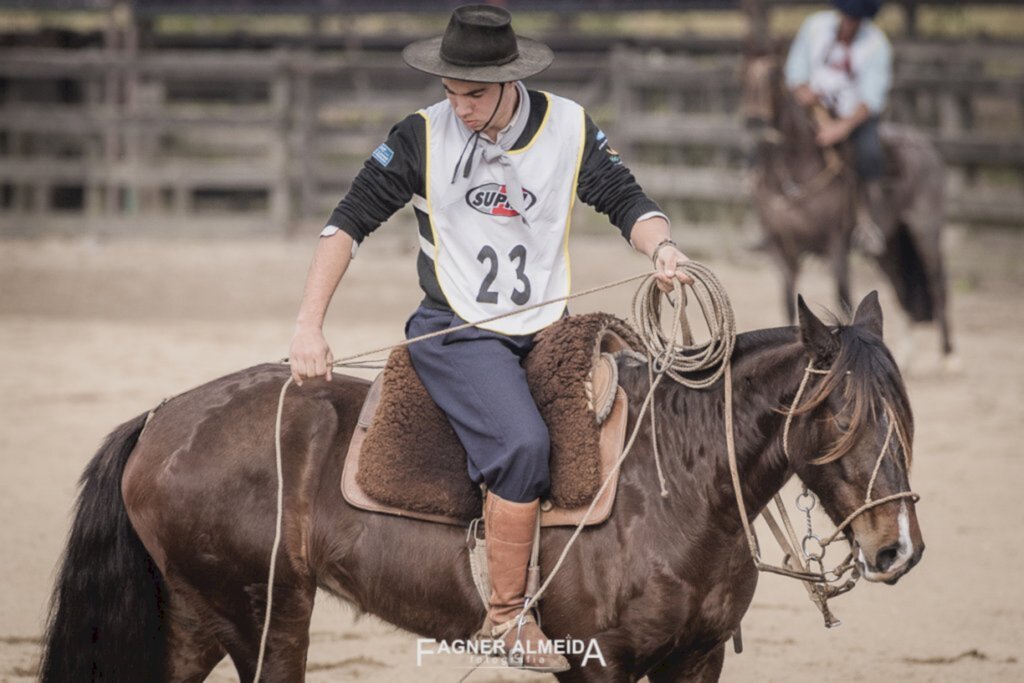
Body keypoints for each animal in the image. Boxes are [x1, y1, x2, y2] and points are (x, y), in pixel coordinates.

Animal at [745, 48, 950, 358]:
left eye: (774, 77)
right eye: (743, 76)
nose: (755, 122)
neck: (794, 173)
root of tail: (924, 145)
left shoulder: (837, 244)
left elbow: (843, 298)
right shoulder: (781, 250)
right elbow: (787, 303)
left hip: (925, 229)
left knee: (938, 285)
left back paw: (950, 357)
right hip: (888, 246)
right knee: (901, 285)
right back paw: (906, 355)